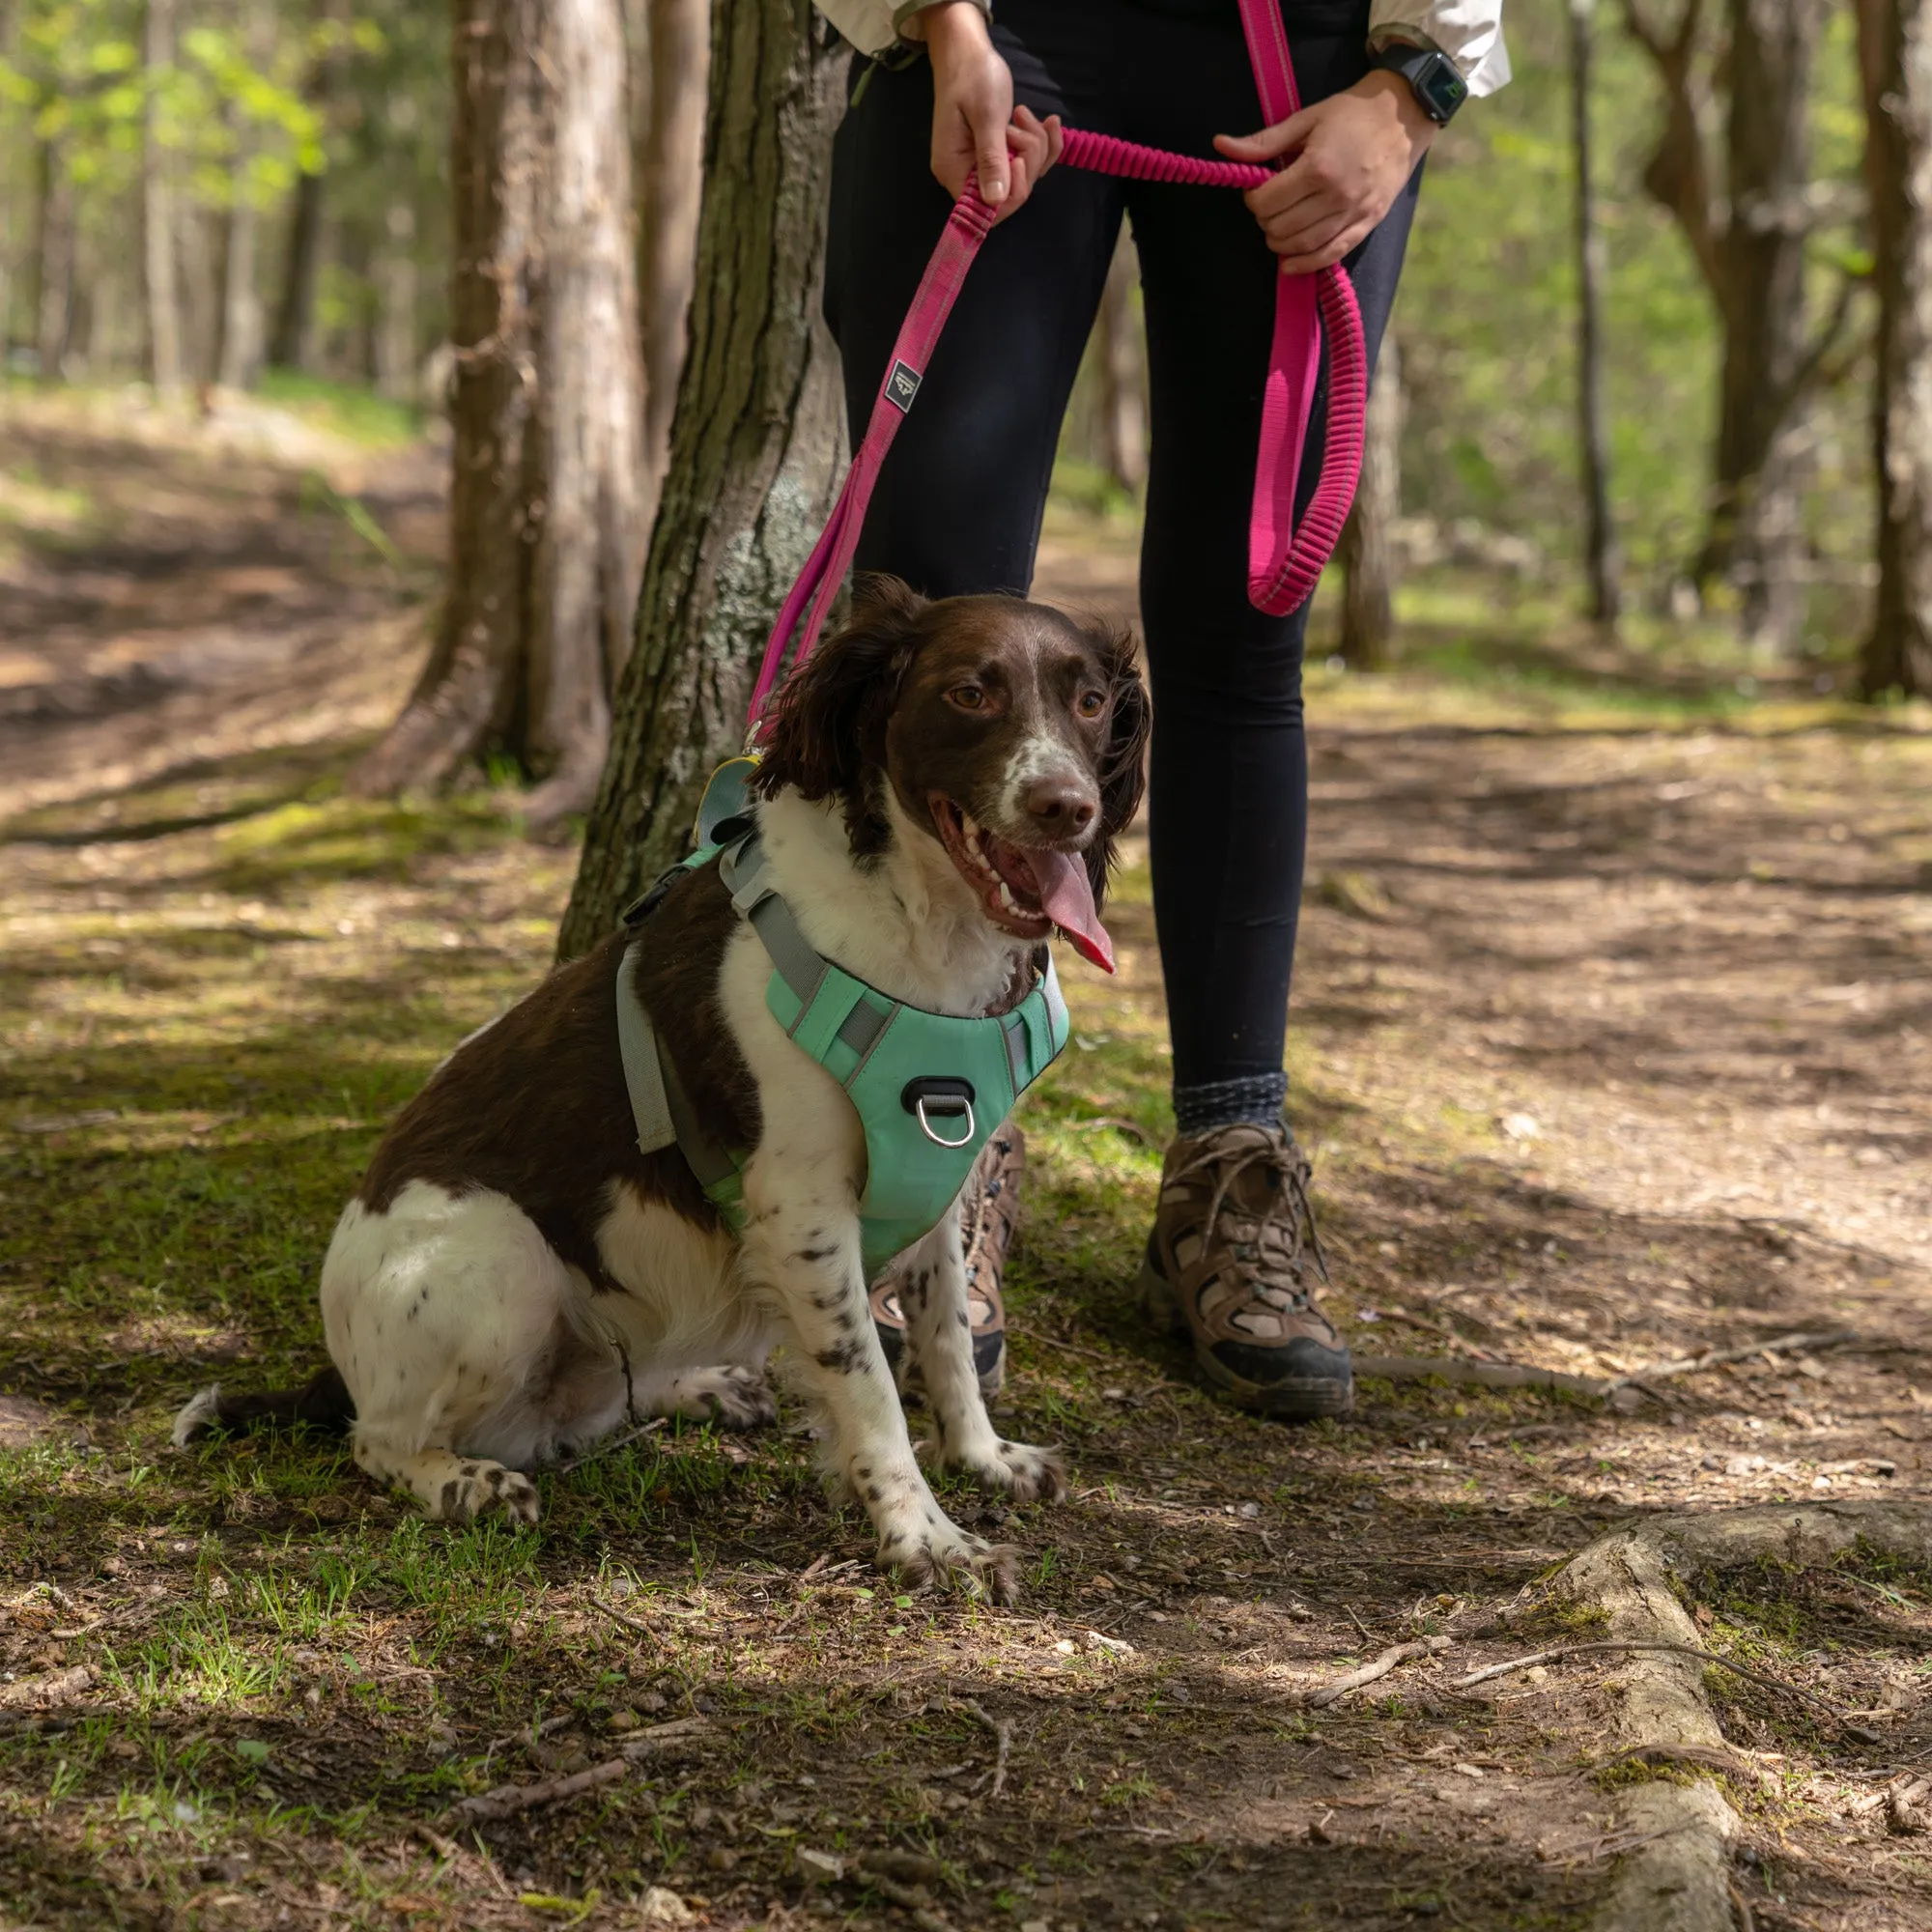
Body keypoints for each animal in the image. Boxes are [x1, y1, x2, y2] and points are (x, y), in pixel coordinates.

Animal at [174, 576, 1144, 1600]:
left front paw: (983, 1459)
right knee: (379, 1440)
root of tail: (340, 1365)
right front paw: (926, 1537)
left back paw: (703, 1387)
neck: (914, 931)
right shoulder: (803, 1210)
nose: (1068, 808)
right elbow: (871, 1383)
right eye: (969, 693)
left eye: (1091, 703)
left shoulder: (939, 1175)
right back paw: (464, 1483)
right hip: (502, 1262)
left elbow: (948, 1340)